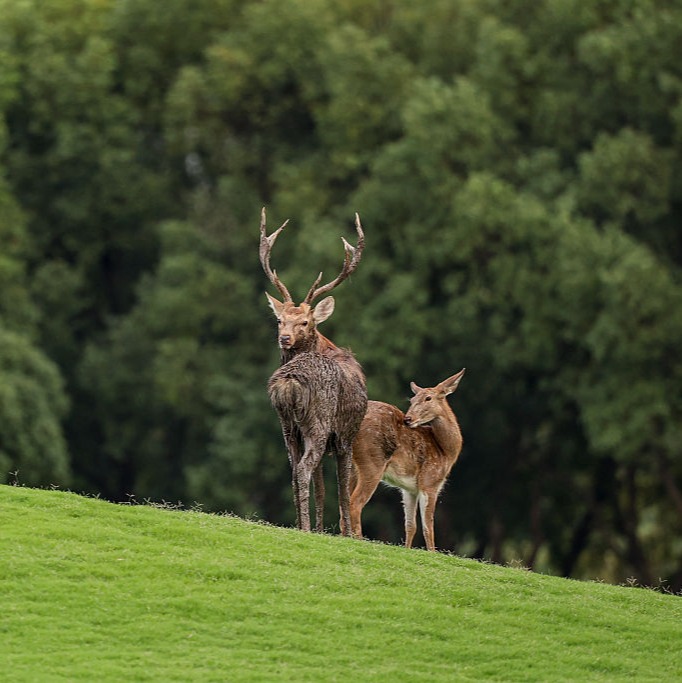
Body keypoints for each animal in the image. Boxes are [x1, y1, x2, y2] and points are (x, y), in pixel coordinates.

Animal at [260, 207, 367, 535]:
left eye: (304, 322)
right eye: (279, 320)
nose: (284, 337)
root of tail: (289, 382)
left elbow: (321, 487)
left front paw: (322, 528)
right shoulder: (346, 433)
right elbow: (343, 487)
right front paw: (347, 533)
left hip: (287, 426)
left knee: (295, 471)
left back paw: (300, 525)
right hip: (318, 422)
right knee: (304, 469)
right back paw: (305, 528)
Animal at [349, 368, 465, 551]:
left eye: (428, 398)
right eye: (412, 400)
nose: (408, 419)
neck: (445, 452)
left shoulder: (409, 489)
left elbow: (411, 526)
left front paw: (407, 549)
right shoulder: (430, 482)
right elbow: (428, 527)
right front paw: (432, 553)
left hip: (353, 466)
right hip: (372, 461)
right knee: (355, 502)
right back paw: (359, 540)